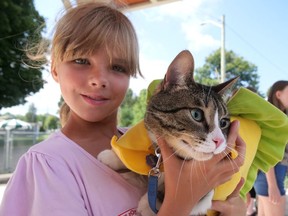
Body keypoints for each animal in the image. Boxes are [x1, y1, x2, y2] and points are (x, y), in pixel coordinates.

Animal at [98, 49, 237, 215]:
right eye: (196, 114)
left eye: (223, 123)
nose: (219, 141)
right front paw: (114, 156)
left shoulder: (208, 192)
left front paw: (148, 205)